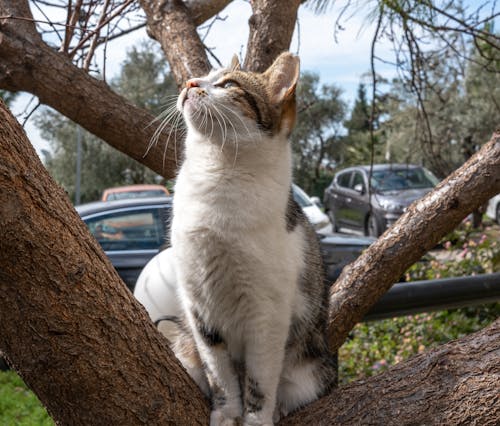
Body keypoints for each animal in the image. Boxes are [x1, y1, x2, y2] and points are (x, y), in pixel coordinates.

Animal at [169, 53, 336, 426]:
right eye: (202, 75)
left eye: (229, 84)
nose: (189, 83)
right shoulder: (198, 303)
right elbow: (219, 370)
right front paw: (226, 411)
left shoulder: (267, 312)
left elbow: (259, 380)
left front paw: (256, 418)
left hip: (313, 371)